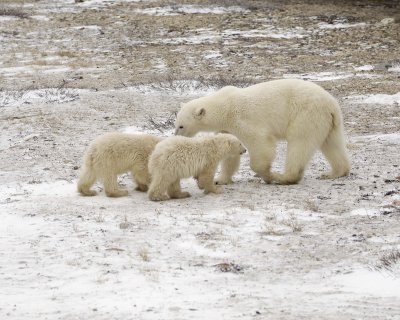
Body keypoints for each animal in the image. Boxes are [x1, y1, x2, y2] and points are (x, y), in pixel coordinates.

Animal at [175, 79, 350, 185]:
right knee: (332, 143)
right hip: (329, 121)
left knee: (300, 143)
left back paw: (283, 177)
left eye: (181, 126)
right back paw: (334, 172)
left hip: (306, 115)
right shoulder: (227, 127)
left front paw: (266, 175)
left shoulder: (243, 119)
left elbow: (260, 142)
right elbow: (230, 152)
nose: (175, 135)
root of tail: (330, 104)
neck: (224, 107)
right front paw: (220, 179)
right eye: (176, 124)